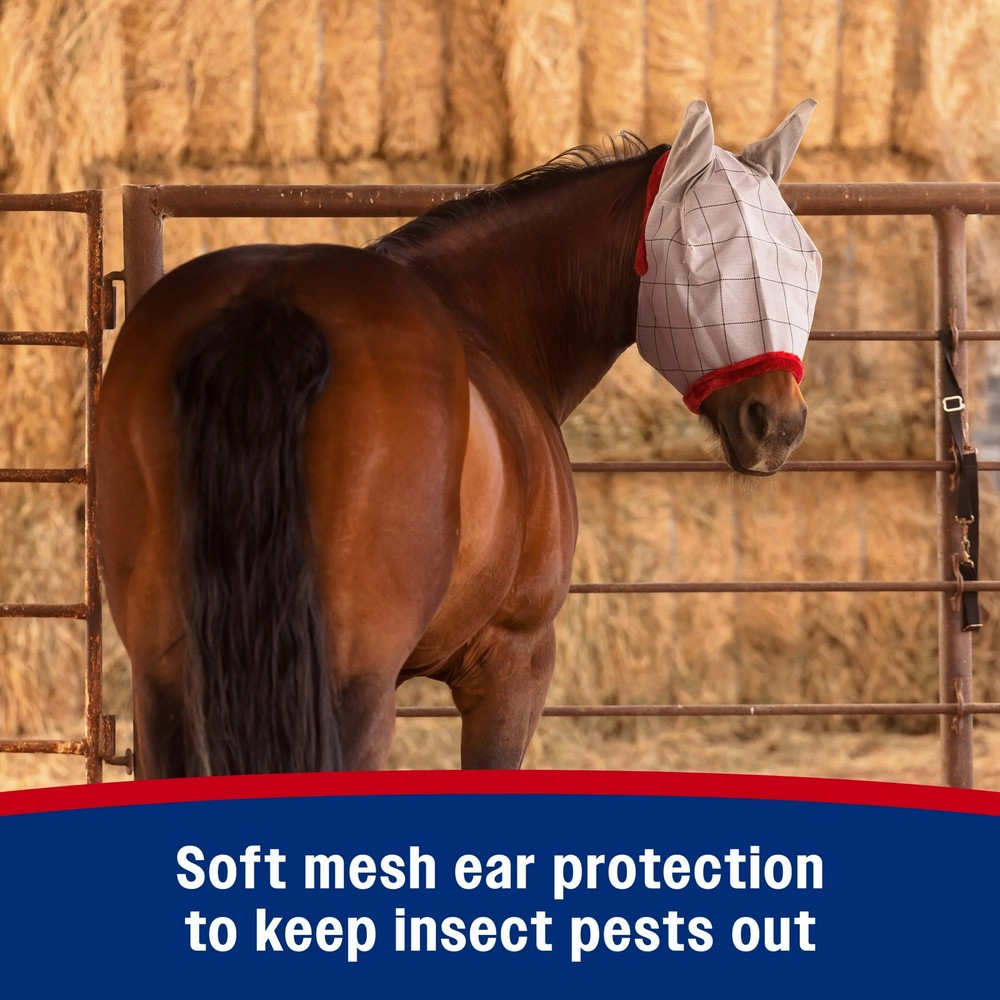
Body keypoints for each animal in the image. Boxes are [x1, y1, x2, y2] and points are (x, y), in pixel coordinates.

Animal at [95, 99, 821, 778]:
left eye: (805, 262)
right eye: (705, 259)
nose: (777, 423)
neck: (485, 320)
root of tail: (271, 309)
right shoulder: (513, 662)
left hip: (166, 684)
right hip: (350, 689)